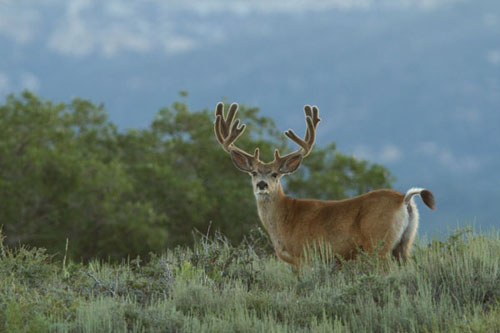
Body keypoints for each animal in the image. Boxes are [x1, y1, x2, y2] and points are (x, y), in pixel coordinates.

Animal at [213, 102, 436, 268]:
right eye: (253, 172)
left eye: (275, 174)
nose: (261, 184)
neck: (284, 219)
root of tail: (403, 199)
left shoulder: (304, 257)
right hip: (404, 245)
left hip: (378, 243)